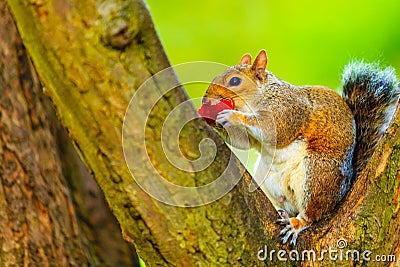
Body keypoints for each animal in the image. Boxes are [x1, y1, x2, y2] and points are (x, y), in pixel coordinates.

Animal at [200, 49, 400, 245]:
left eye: (234, 81)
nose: (205, 99)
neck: (263, 94)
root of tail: (343, 192)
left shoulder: (289, 110)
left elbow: (274, 129)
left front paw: (232, 116)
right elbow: (244, 142)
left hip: (317, 173)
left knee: (312, 214)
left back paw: (296, 223)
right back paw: (282, 212)